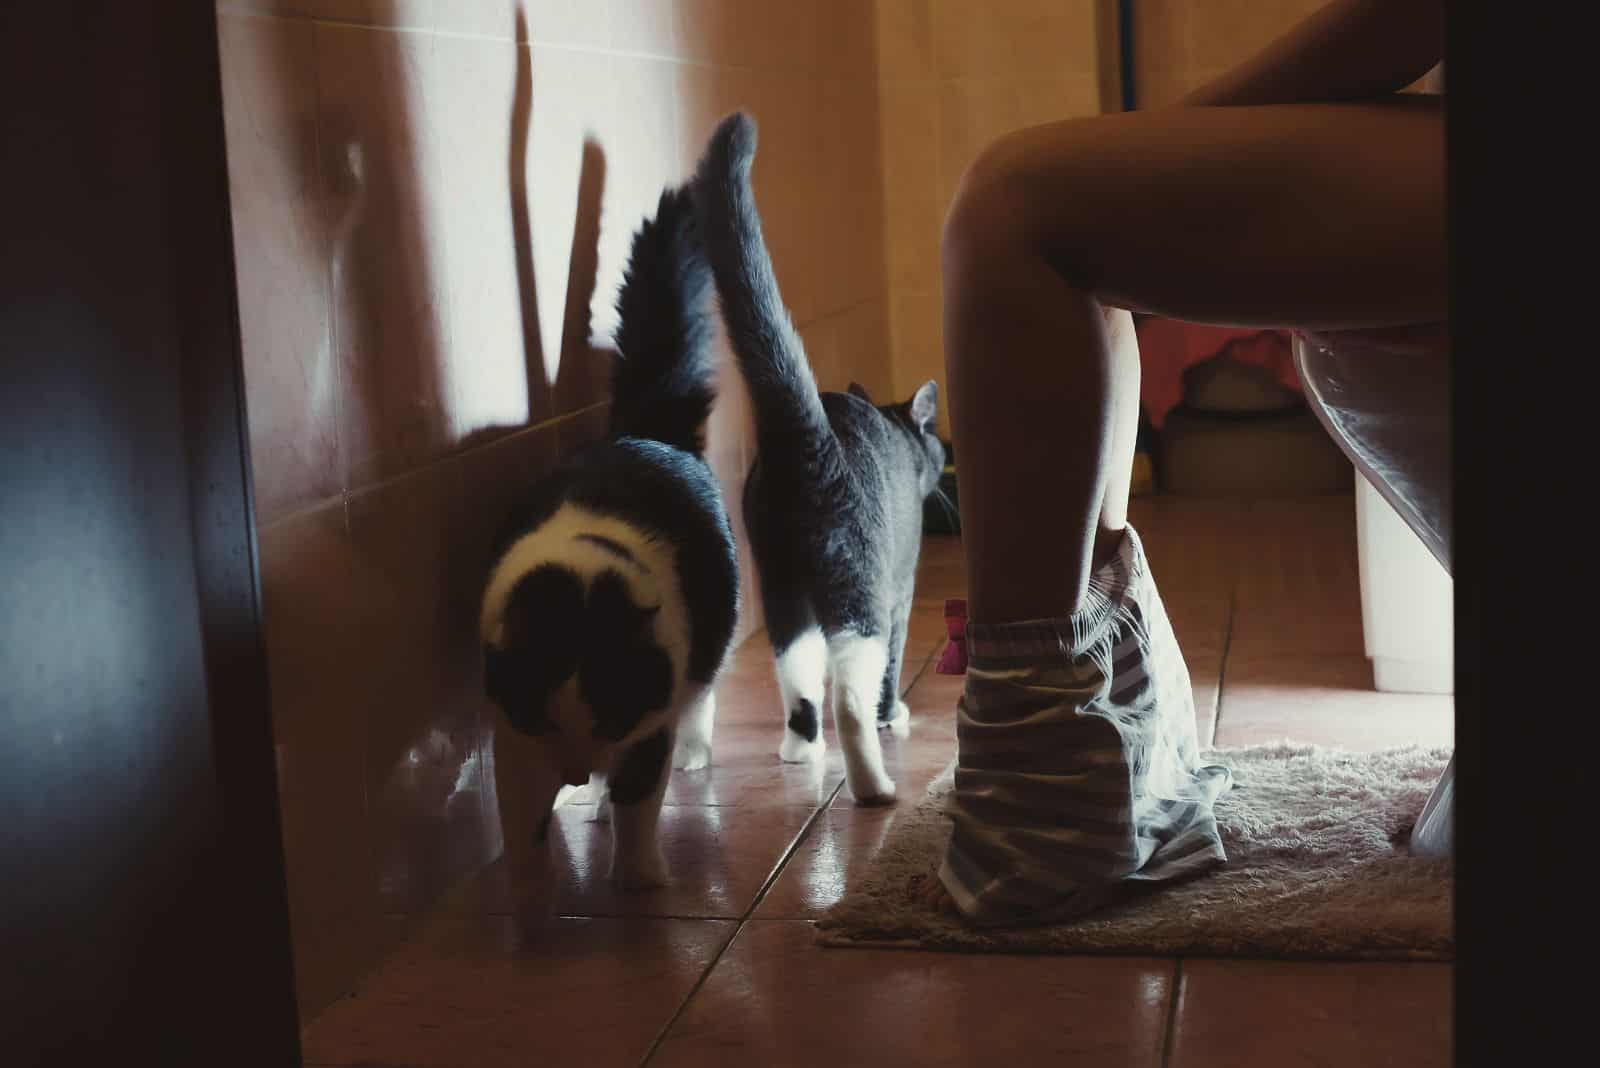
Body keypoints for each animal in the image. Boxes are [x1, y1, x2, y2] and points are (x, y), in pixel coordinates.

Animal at [476, 183, 739, 882]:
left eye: (608, 719)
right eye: (547, 723)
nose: (574, 771)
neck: (580, 584)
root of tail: (642, 432)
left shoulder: (648, 726)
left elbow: (639, 802)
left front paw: (639, 880)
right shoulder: (512, 733)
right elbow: (520, 823)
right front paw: (529, 888)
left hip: (704, 653)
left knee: (699, 705)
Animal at [691, 115, 940, 799]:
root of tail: (807, 437)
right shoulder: (903, 583)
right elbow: (895, 662)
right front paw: (894, 714)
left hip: (779, 585)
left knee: (798, 675)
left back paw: (801, 753)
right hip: (860, 587)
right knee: (849, 690)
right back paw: (874, 787)